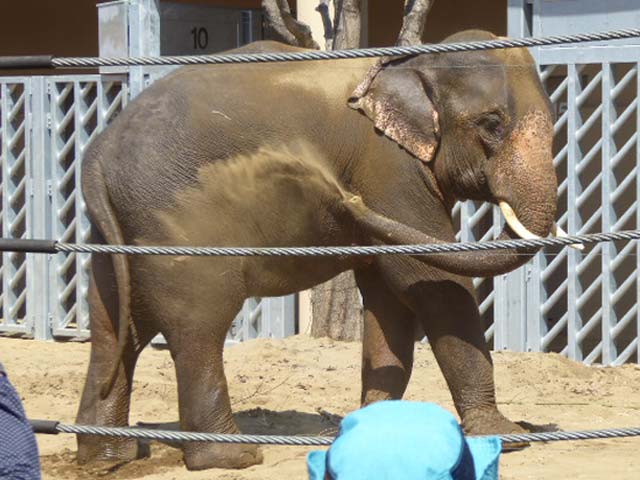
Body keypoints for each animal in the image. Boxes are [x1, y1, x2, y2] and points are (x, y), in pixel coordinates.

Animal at [77, 31, 560, 472]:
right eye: (492, 124)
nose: (341, 194)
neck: (413, 62)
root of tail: (96, 156)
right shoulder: (389, 167)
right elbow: (430, 282)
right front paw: (508, 437)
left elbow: (389, 295)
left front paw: (373, 431)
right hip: (175, 222)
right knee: (198, 325)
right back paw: (232, 457)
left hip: (122, 229)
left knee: (115, 326)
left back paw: (107, 458)